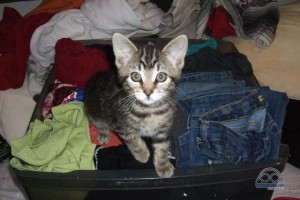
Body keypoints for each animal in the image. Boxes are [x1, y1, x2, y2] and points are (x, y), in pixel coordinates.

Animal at [84, 33, 188, 178]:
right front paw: (142, 154)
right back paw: (103, 133)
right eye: (136, 76)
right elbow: (132, 138)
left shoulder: (163, 127)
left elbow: (162, 145)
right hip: (94, 108)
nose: (148, 92)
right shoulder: (119, 124)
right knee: (97, 121)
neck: (149, 110)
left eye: (161, 77)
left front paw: (163, 165)